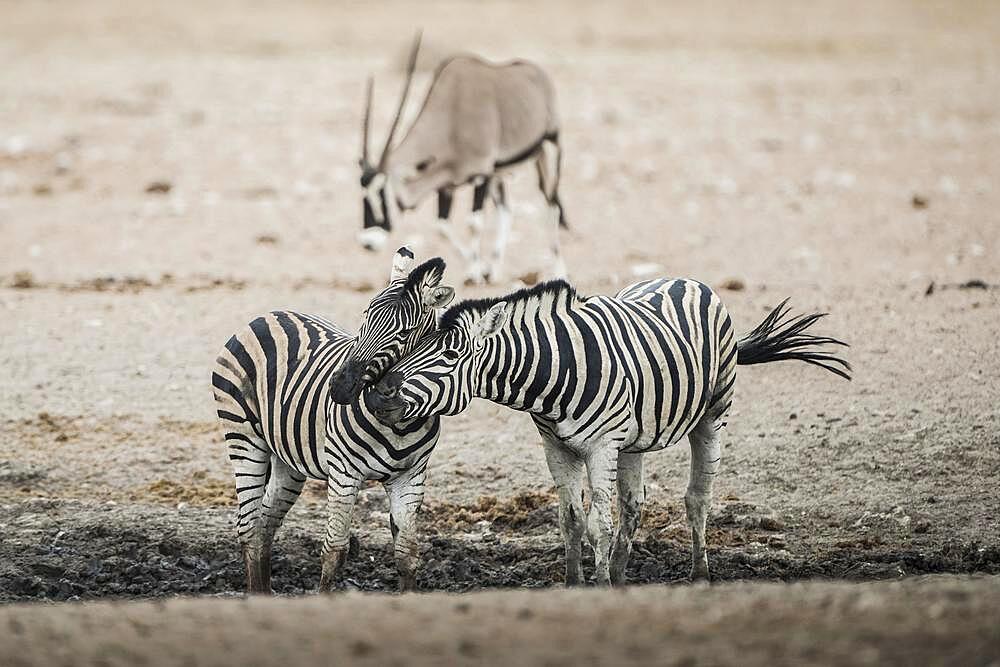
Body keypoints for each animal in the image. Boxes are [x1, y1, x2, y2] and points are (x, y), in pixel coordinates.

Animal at [217, 248, 458, 592]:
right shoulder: (344, 473)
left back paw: (264, 595)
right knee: (249, 527)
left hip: (287, 459)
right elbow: (335, 550)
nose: (340, 386)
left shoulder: (410, 476)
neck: (398, 424)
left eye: (405, 333)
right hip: (243, 438)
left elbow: (407, 552)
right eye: (366, 315)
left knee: (264, 524)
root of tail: (268, 315)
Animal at [368, 280, 852, 588]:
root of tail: (687, 280)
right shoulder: (556, 446)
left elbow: (598, 521)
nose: (375, 396)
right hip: (633, 440)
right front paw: (575, 583)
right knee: (634, 504)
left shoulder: (601, 446)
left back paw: (698, 575)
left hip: (712, 413)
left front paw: (597, 585)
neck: (553, 374)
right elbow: (571, 518)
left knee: (697, 497)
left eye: (449, 355)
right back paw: (621, 575)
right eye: (414, 346)